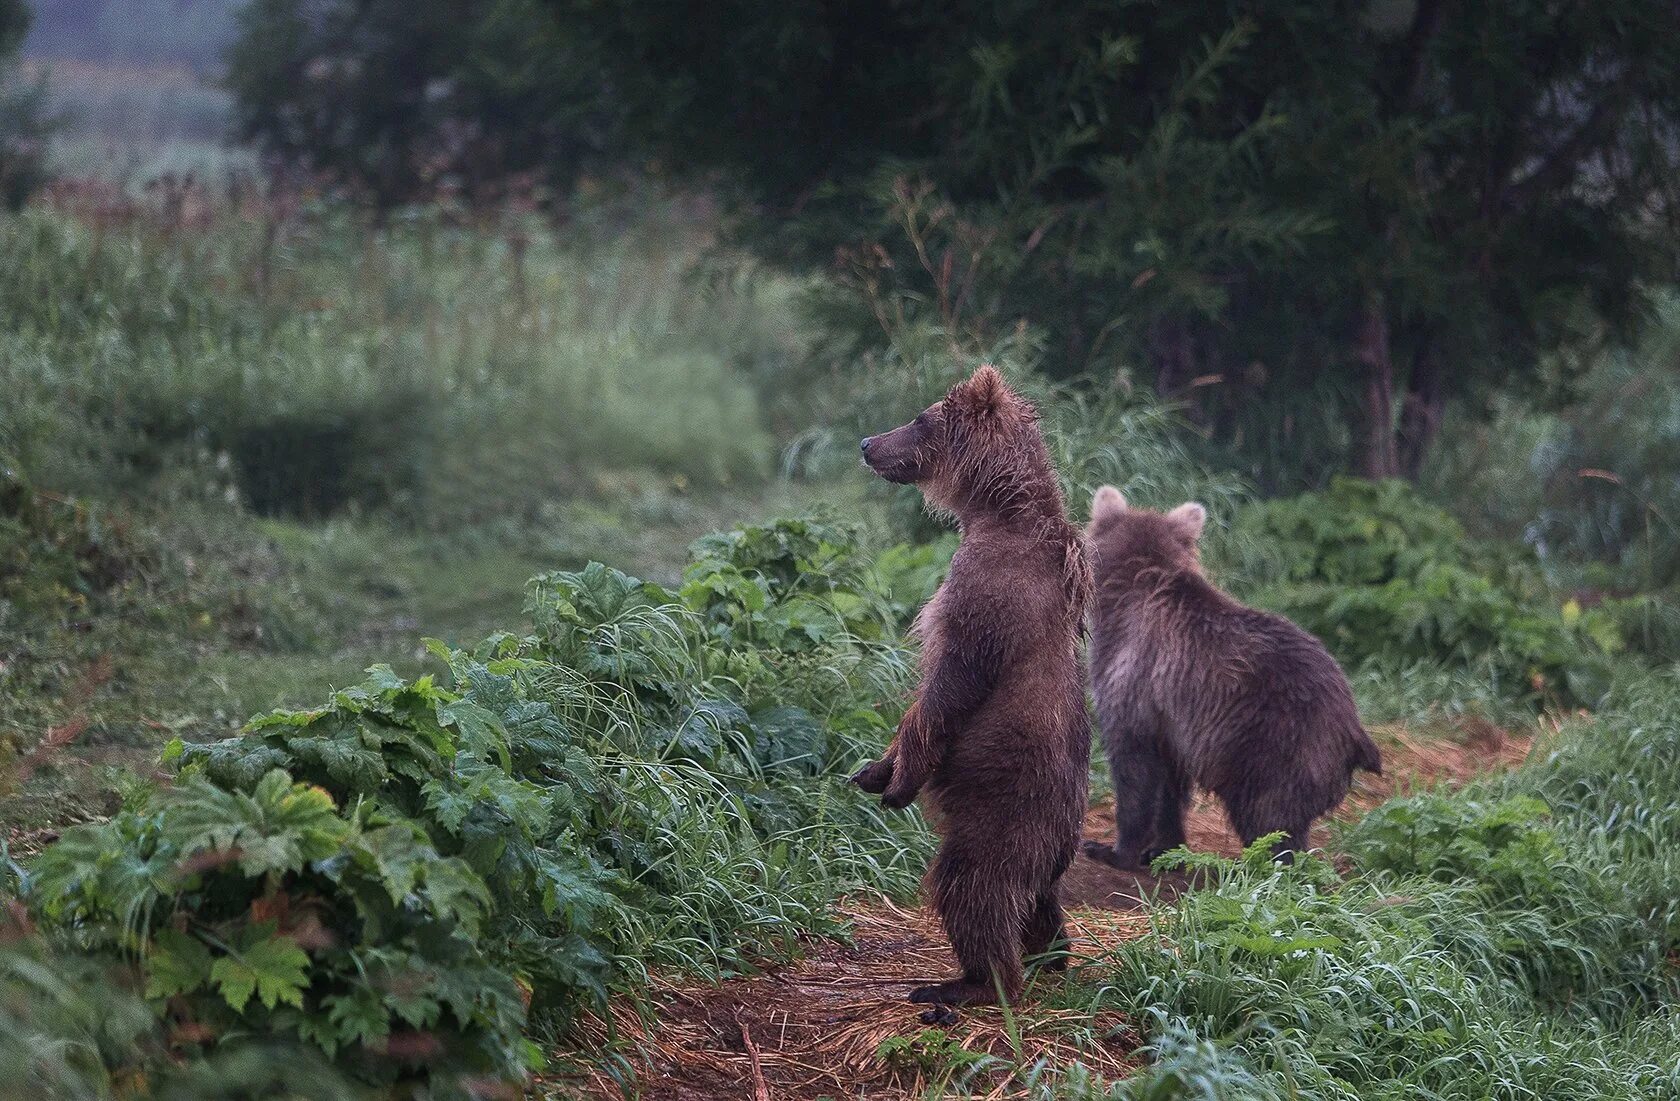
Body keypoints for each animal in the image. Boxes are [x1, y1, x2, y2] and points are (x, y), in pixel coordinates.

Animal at [853, 366, 1088, 1015]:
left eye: (921, 417)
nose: (867, 443)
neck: (996, 511)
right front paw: (872, 770)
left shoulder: (984, 594)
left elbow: (946, 687)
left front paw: (899, 782)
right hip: (1044, 848)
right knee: (1035, 902)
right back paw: (1052, 954)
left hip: (1003, 808)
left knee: (970, 884)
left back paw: (965, 982)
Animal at [1081, 484, 1384, 867]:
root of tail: (1354, 725)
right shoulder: (1173, 719)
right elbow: (1171, 782)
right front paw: (1164, 848)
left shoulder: (1132, 675)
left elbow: (1134, 767)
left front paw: (1111, 849)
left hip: (1278, 744)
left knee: (1271, 817)